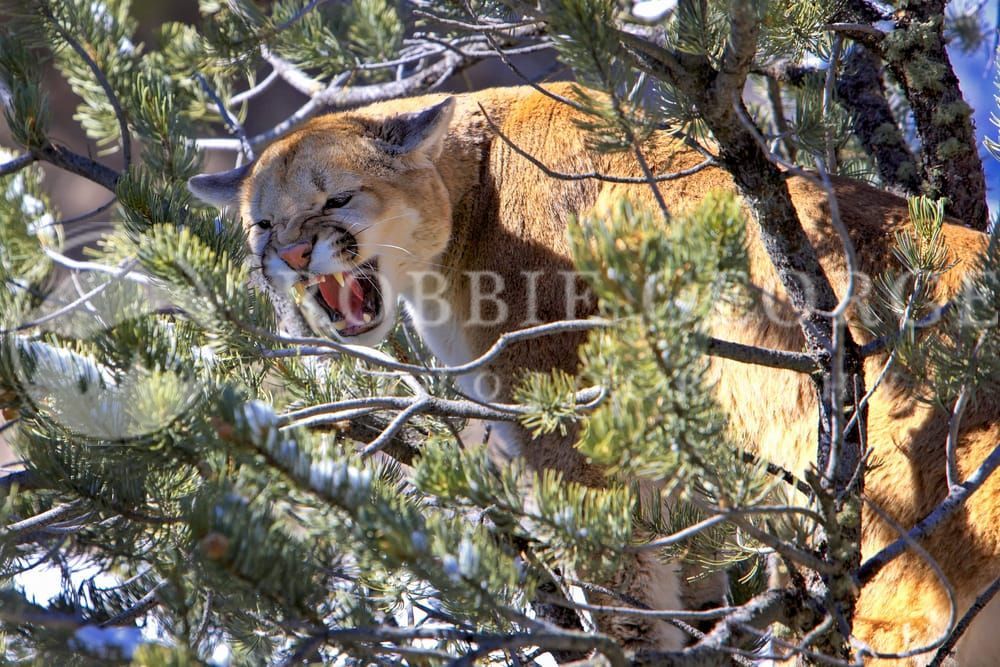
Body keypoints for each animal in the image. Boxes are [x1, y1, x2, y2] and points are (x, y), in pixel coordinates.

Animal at [189, 84, 1000, 663]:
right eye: (262, 224)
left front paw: (633, 648)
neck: (468, 194)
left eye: (336, 197)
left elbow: (619, 579)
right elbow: (686, 572)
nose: (291, 256)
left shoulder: (569, 428)